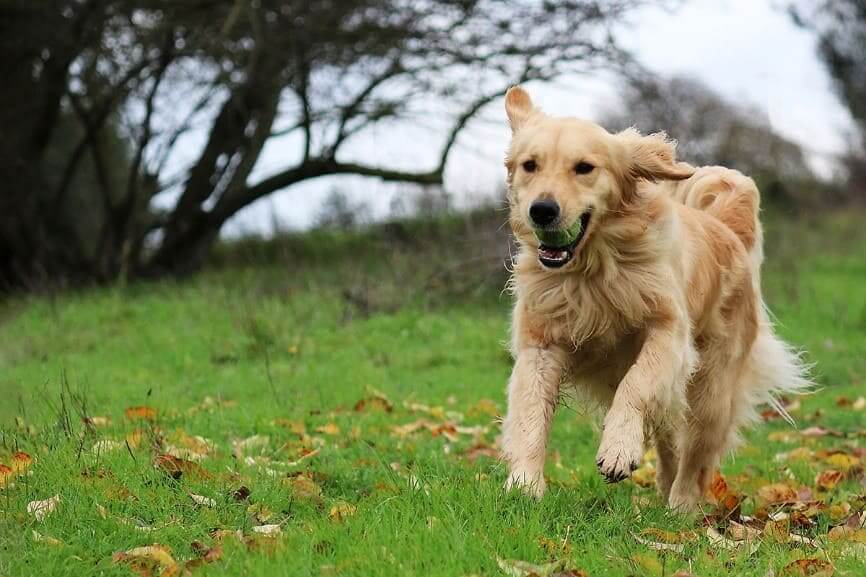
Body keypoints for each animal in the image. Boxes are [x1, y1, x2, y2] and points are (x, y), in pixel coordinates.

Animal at [496, 85, 808, 508]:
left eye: (584, 168)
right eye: (530, 165)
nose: (542, 210)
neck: (592, 271)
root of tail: (728, 228)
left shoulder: (669, 333)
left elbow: (637, 383)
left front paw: (618, 450)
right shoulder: (540, 344)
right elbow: (530, 411)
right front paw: (525, 484)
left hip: (712, 390)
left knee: (695, 458)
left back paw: (680, 508)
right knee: (670, 442)